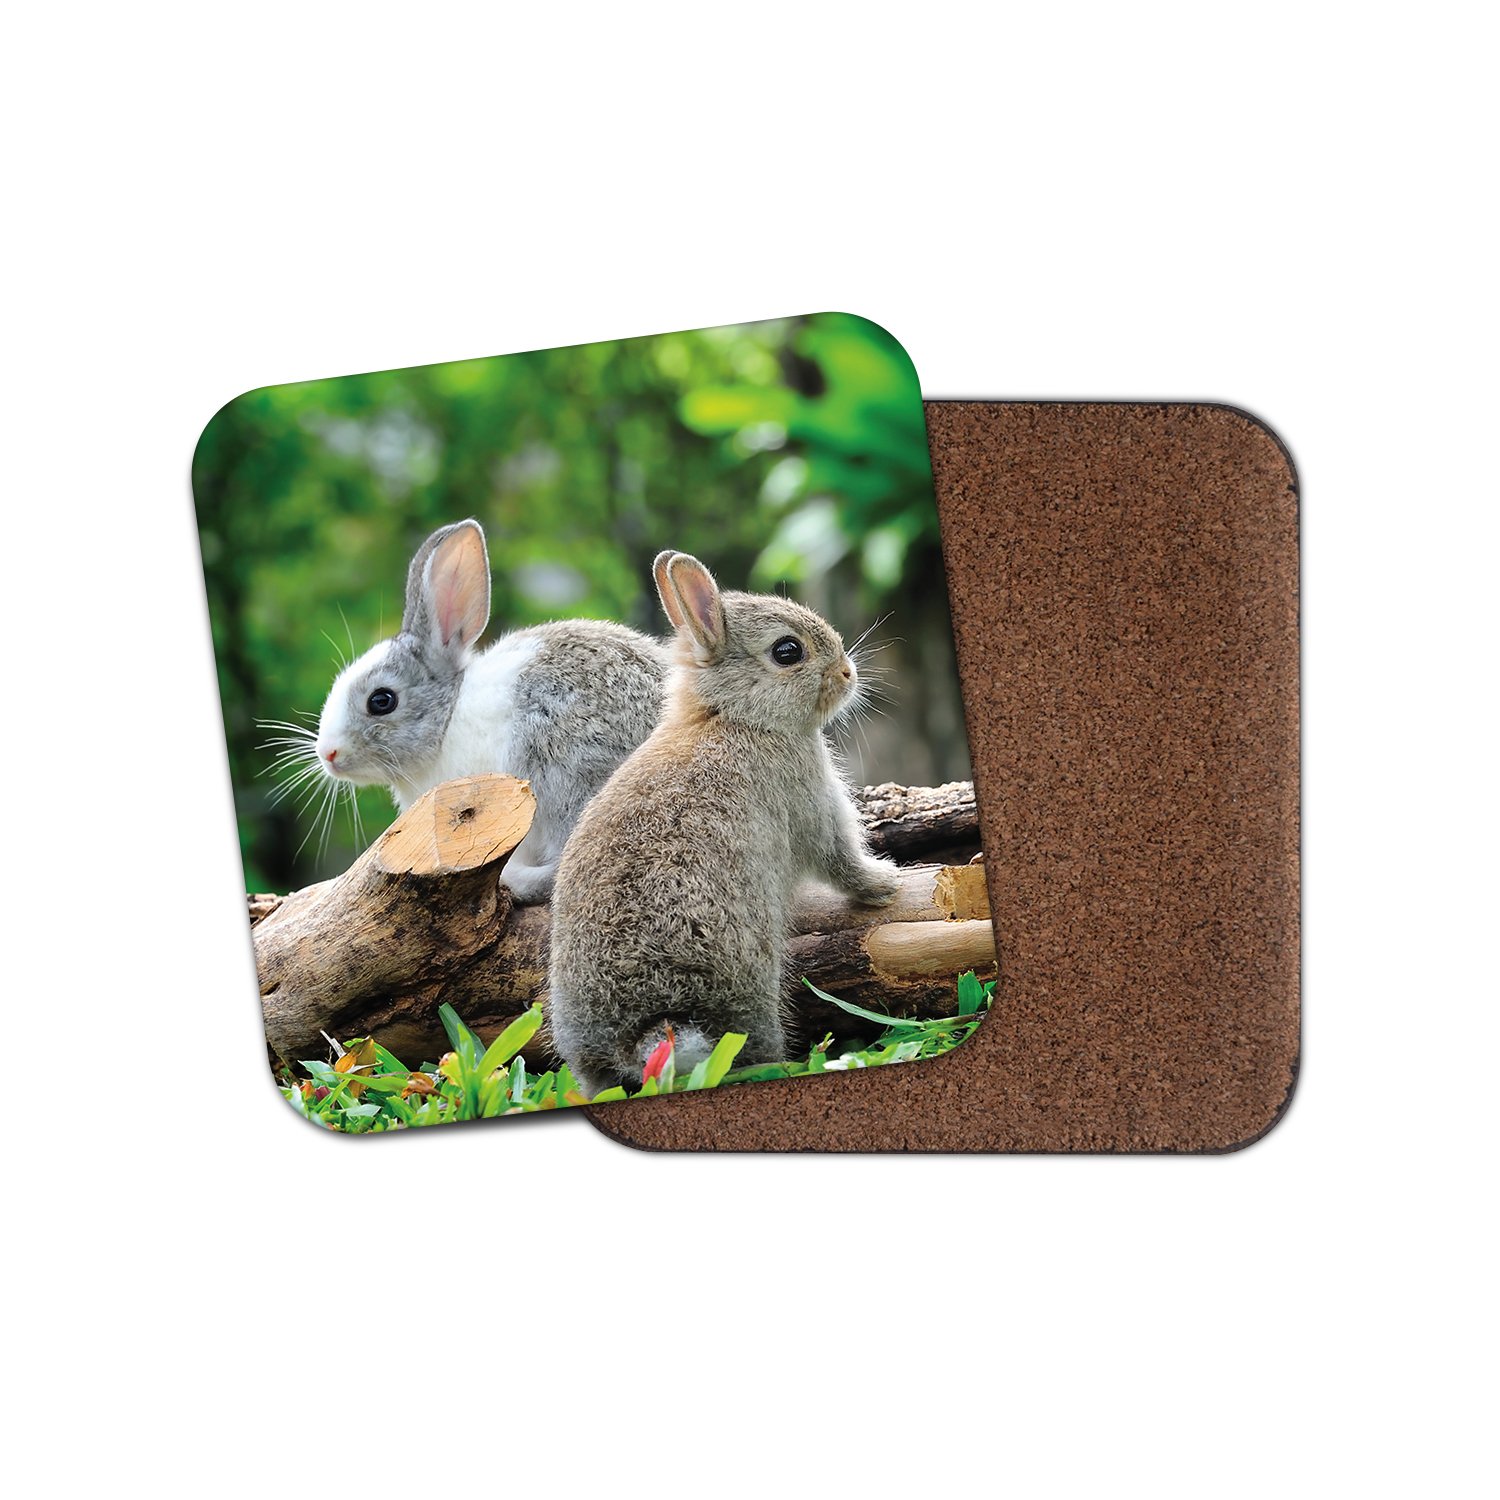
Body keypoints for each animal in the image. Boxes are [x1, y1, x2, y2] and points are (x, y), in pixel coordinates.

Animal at [547, 549, 902, 1096]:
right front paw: (886, 883)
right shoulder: (813, 806)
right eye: (787, 651)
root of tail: (647, 1030)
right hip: (750, 993)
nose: (847, 673)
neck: (733, 716)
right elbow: (841, 860)